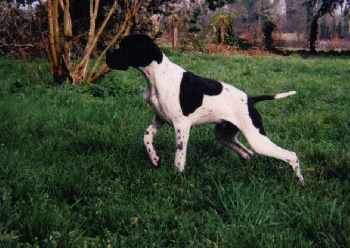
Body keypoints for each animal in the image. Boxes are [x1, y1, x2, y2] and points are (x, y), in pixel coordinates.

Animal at [106, 33, 304, 184]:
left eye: (125, 46)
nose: (107, 52)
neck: (156, 75)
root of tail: (250, 100)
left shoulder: (182, 125)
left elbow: (179, 156)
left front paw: (177, 176)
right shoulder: (159, 118)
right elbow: (146, 137)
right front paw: (154, 158)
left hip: (257, 139)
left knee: (291, 155)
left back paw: (300, 182)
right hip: (224, 135)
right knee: (247, 153)